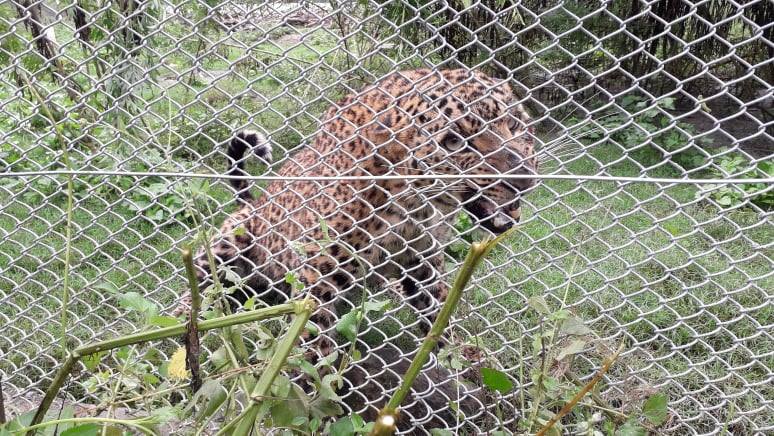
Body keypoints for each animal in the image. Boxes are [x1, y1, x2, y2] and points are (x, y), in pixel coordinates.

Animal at [178, 68, 536, 362]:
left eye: (514, 123)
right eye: (454, 141)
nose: (522, 176)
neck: (414, 205)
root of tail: (252, 203)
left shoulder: (424, 261)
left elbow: (438, 311)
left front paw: (455, 363)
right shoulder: (317, 271)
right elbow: (314, 339)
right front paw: (315, 389)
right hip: (230, 242)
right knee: (199, 284)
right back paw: (185, 323)